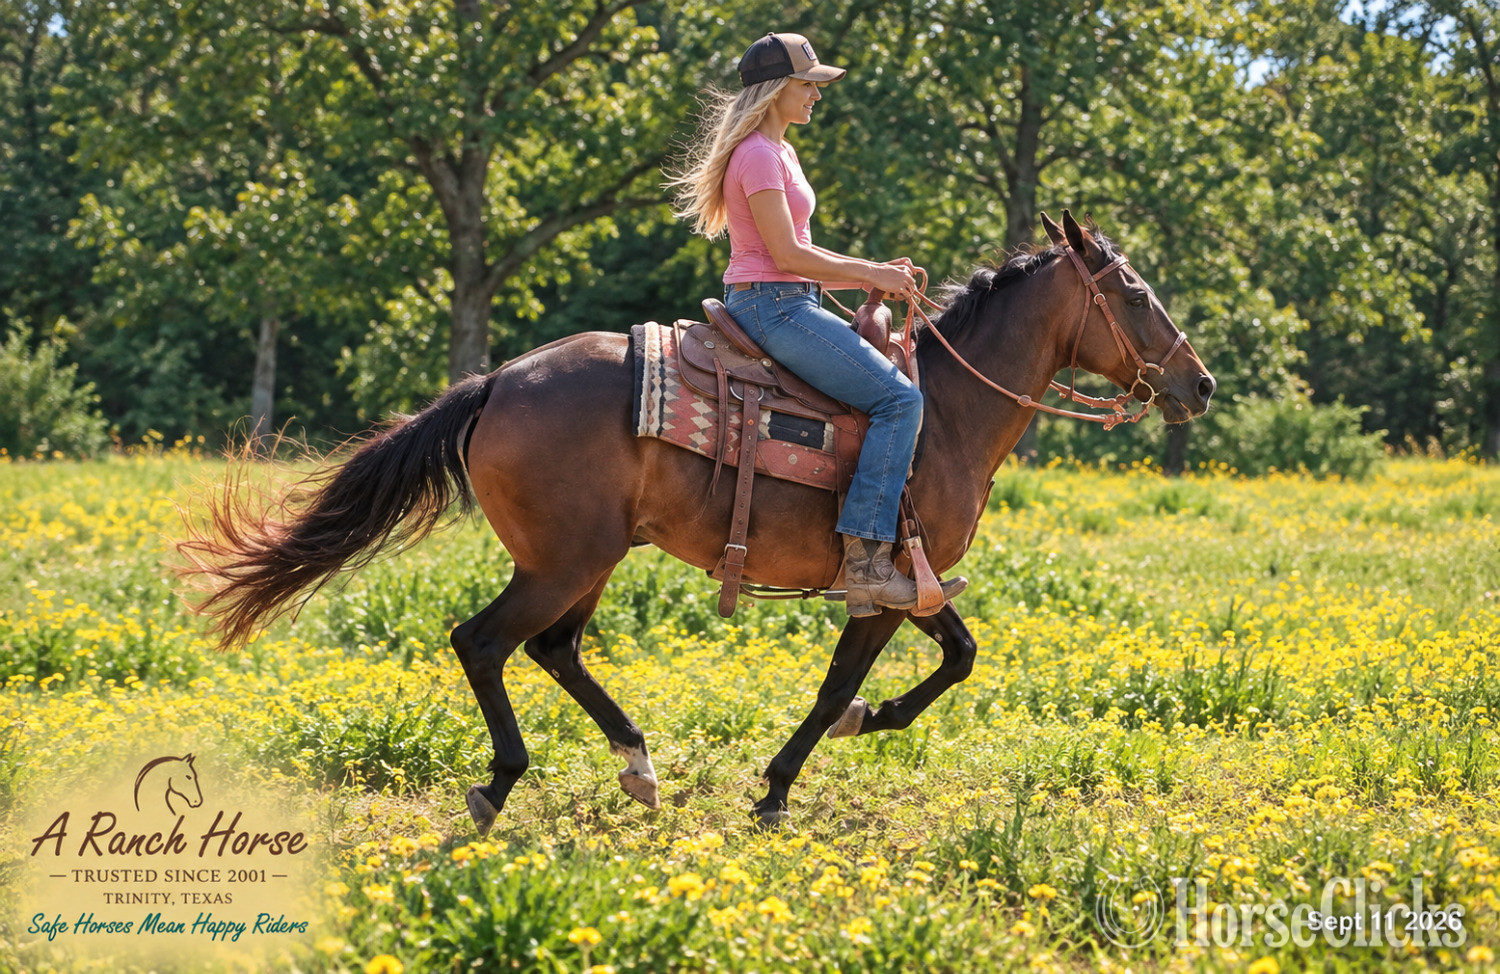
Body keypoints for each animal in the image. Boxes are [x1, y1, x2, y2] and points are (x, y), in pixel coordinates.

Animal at [177, 211, 1216, 833]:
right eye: (1133, 294)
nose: (1199, 384)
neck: (945, 412)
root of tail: (498, 382)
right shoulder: (883, 588)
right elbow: (845, 688)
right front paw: (785, 784)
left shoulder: (913, 583)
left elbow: (958, 655)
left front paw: (857, 731)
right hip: (563, 561)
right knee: (484, 641)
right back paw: (502, 780)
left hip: (588, 559)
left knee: (553, 649)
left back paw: (637, 764)